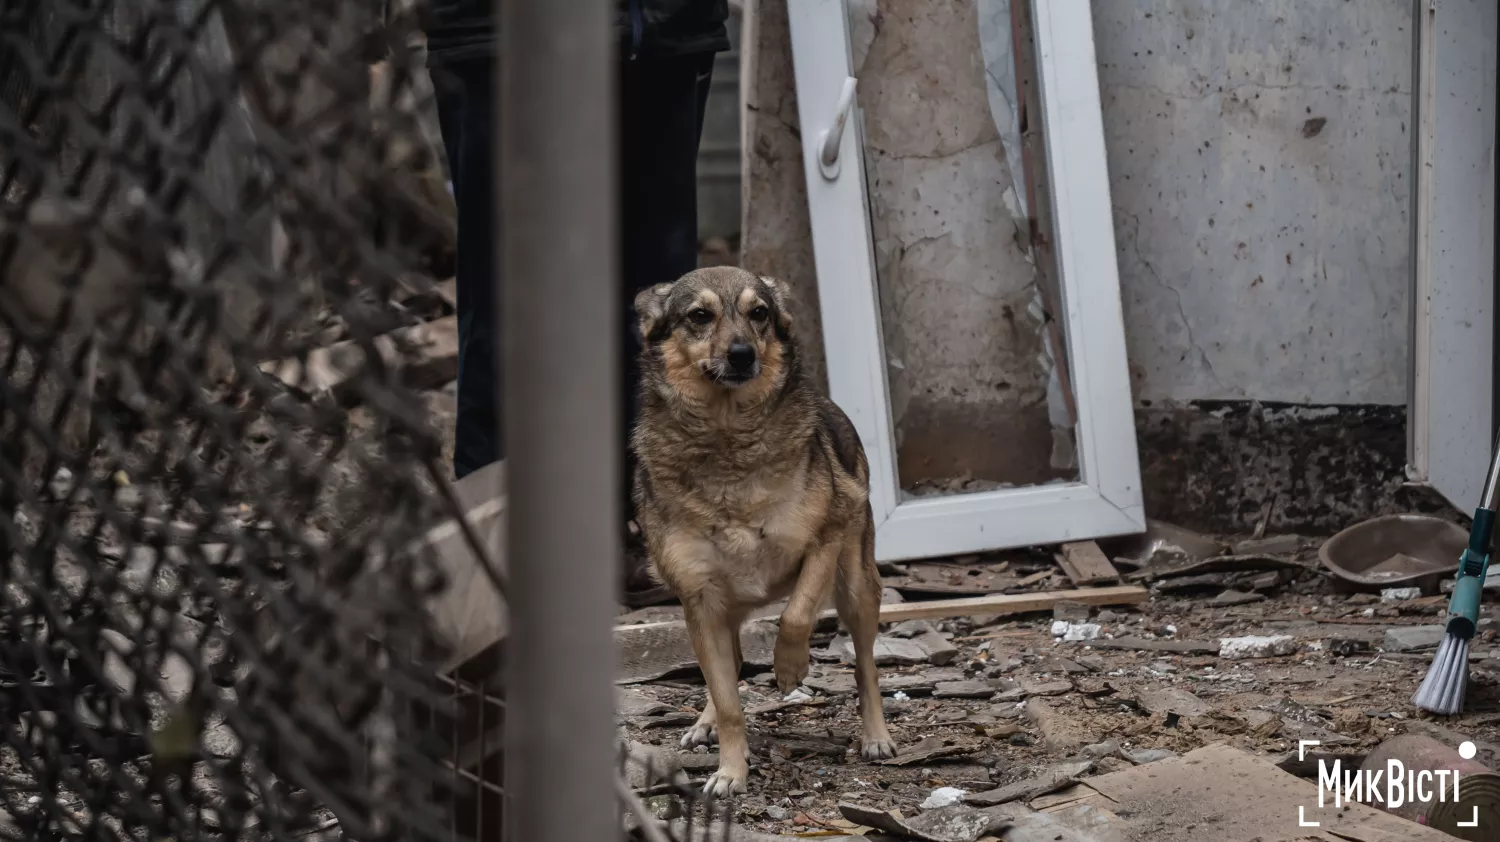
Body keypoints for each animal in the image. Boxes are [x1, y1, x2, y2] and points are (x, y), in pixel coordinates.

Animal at [630, 265, 894, 792]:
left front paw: (790, 668)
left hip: (858, 588)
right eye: (700, 315)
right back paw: (705, 722)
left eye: (760, 314)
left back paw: (876, 736)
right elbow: (728, 699)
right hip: (719, 613)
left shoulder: (826, 535)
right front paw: (731, 770)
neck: (727, 438)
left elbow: (797, 613)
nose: (741, 353)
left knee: (866, 668)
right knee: (726, 667)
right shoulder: (699, 599)